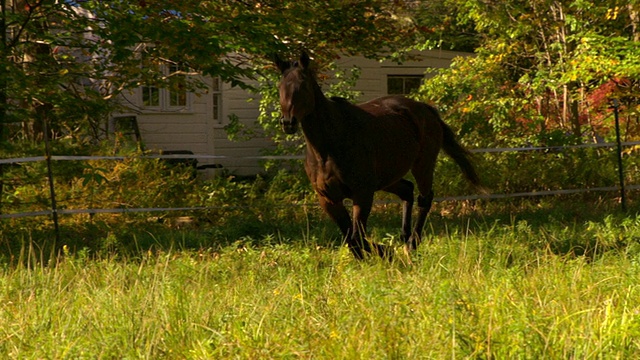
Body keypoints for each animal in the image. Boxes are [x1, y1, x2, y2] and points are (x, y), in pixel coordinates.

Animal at [276, 52, 480, 258]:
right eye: (280, 87)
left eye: (303, 85)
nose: (288, 123)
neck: (327, 149)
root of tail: (424, 108)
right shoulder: (328, 199)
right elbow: (351, 239)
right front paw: (384, 252)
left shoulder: (363, 193)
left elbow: (357, 237)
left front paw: (386, 252)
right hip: (388, 177)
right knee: (407, 190)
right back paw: (405, 237)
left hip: (423, 165)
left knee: (425, 198)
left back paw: (412, 243)